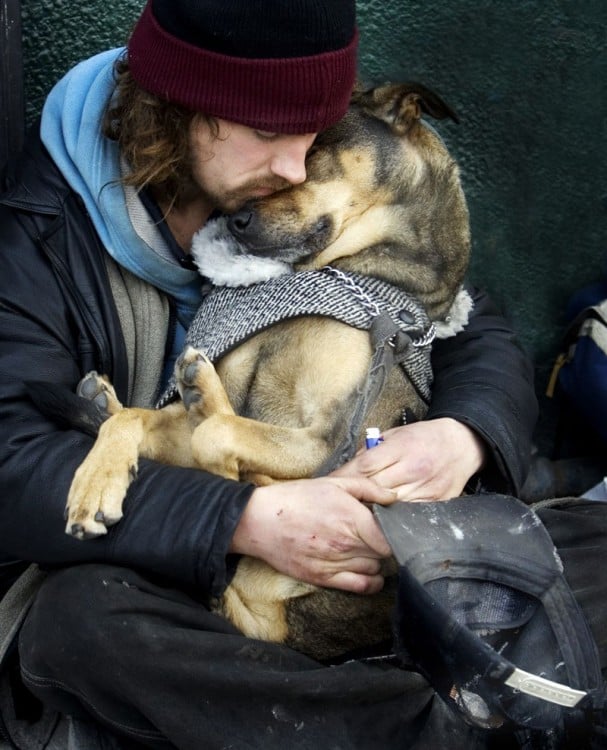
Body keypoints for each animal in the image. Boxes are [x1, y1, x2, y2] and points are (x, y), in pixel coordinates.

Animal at [35, 82, 472, 660]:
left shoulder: (334, 439)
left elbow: (216, 436)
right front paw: (95, 483)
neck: (346, 272)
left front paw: (209, 431)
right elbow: (140, 422)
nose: (234, 220)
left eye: (312, 150)